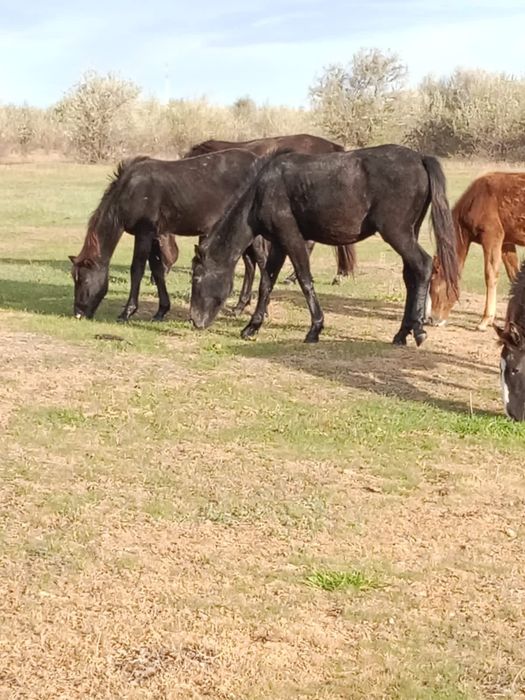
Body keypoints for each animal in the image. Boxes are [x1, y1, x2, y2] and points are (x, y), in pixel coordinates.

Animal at [69, 150, 268, 321]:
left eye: (83, 280)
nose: (78, 313)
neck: (130, 191)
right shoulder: (155, 236)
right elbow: (157, 270)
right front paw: (161, 310)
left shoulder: (144, 233)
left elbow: (137, 269)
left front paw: (128, 311)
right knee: (251, 264)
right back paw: (240, 307)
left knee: (262, 261)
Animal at [189, 144, 459, 347]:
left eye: (197, 278)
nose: (194, 320)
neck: (263, 190)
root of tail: (420, 158)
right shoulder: (278, 244)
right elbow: (267, 283)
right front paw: (252, 326)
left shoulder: (291, 238)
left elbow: (304, 279)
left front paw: (315, 329)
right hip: (408, 233)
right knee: (410, 277)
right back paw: (402, 333)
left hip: (397, 233)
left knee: (423, 266)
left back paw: (419, 330)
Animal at [428, 172, 525, 330]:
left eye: (433, 283)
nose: (432, 319)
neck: (476, 201)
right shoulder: (506, 242)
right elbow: (514, 276)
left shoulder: (492, 235)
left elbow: (490, 274)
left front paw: (485, 321)